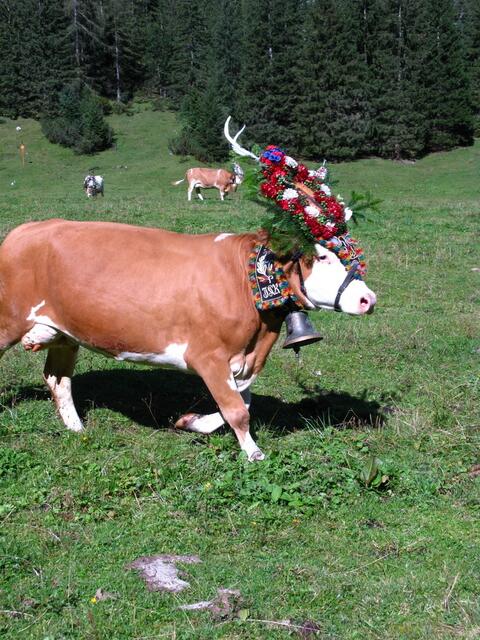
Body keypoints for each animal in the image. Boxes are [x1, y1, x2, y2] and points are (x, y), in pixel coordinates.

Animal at [0, 219, 376, 461]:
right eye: (322, 257)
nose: (367, 299)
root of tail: (25, 229)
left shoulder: (244, 359)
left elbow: (239, 405)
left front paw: (191, 422)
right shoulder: (208, 355)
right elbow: (237, 411)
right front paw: (253, 453)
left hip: (66, 334)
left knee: (58, 379)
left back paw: (77, 429)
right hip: (9, 321)